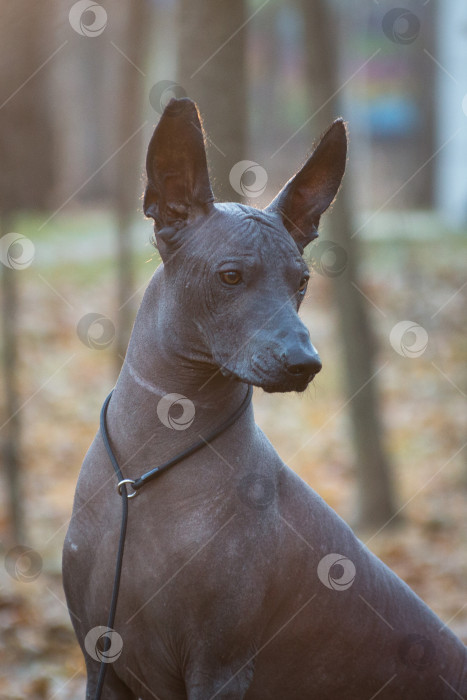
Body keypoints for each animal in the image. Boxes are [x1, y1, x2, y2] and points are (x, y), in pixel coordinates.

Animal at [63, 97, 467, 696]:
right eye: (231, 276)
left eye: (301, 282)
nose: (305, 363)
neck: (153, 461)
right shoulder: (100, 662)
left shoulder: (220, 667)